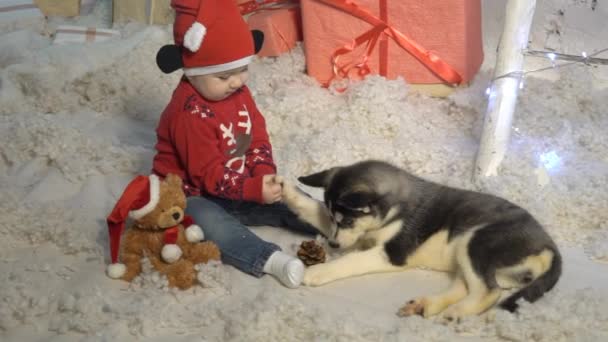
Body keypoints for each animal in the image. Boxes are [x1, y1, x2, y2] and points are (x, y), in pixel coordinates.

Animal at [280, 160, 560, 318]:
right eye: (333, 218)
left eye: (347, 221)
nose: (334, 245)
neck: (393, 212)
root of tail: (548, 244)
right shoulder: (359, 238)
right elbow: (312, 208)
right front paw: (287, 191)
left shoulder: (391, 252)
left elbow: (352, 261)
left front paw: (318, 271)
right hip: (466, 256)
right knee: (468, 287)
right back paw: (427, 305)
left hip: (475, 241)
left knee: (490, 292)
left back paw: (457, 312)